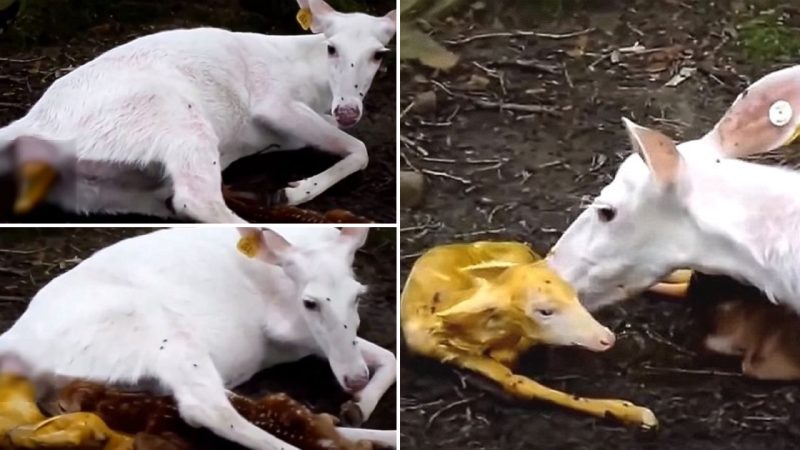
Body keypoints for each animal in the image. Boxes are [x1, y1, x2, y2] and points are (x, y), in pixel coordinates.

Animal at [0, 0, 396, 221]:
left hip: (98, 191)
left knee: (175, 200)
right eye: (331, 47)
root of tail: (28, 128)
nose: (349, 110)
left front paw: (293, 189)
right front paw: (296, 190)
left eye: (379, 55)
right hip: (175, 115)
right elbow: (360, 148)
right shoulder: (272, 101)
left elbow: (351, 144)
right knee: (196, 200)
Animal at [0, 227, 396, 450]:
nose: (354, 379)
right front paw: (356, 401)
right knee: (207, 408)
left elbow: (387, 354)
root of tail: (17, 342)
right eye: (310, 302)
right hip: (163, 333)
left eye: (358, 295)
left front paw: (358, 405)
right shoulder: (293, 330)